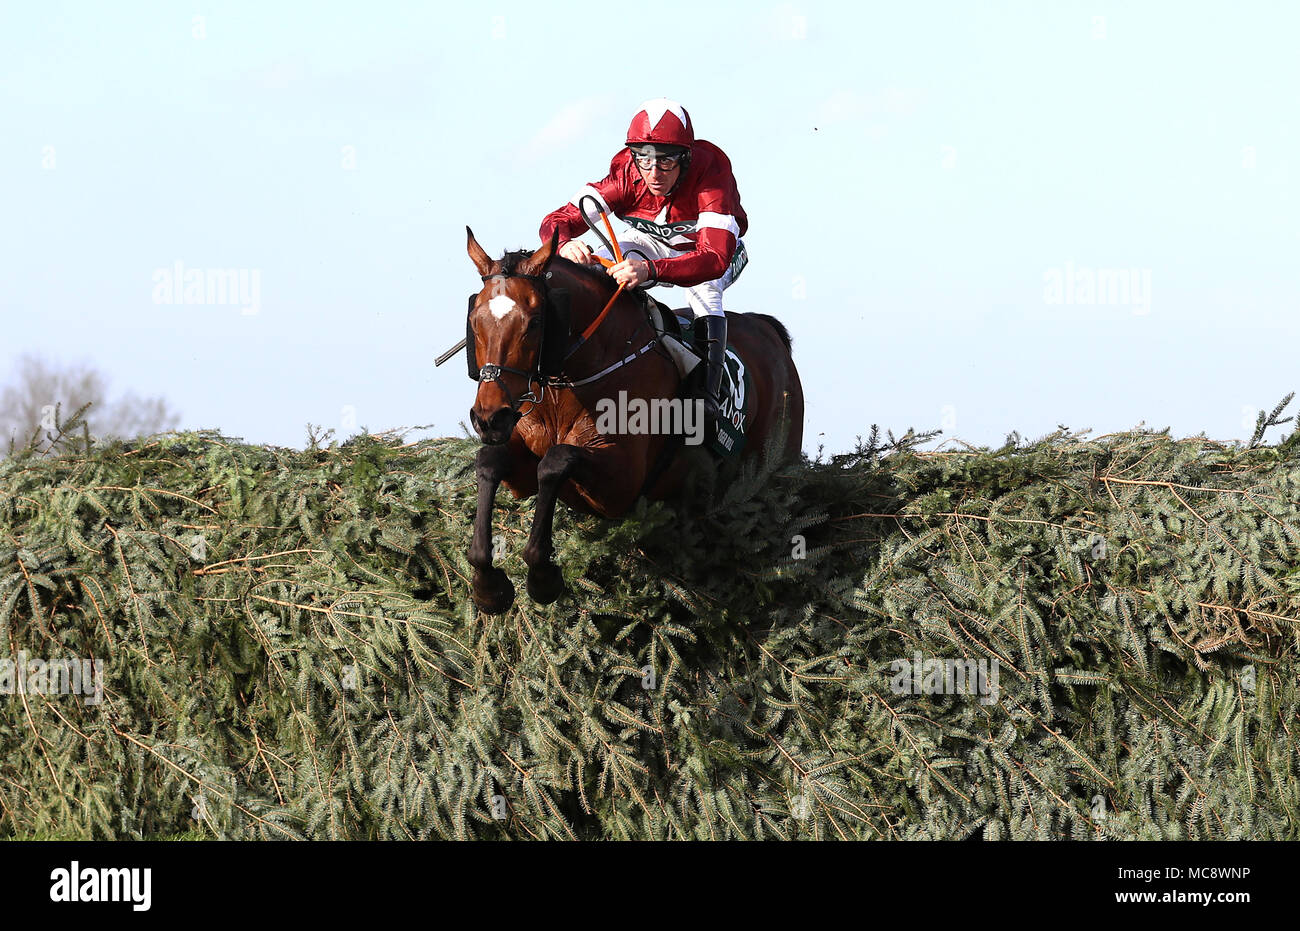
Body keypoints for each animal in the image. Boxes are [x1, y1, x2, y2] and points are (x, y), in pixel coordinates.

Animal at [462, 228, 795, 613]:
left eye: (533, 324)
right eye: (475, 321)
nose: (490, 417)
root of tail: (768, 330)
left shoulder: (621, 486)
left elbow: (556, 460)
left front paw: (542, 576)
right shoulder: (521, 466)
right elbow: (490, 461)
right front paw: (487, 584)